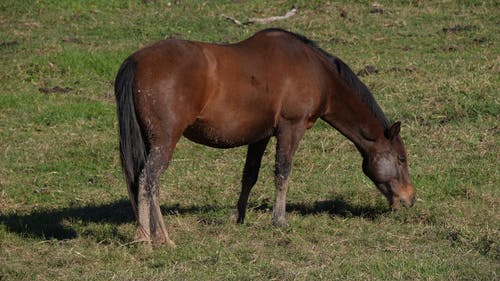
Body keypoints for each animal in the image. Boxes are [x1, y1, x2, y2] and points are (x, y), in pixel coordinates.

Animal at [115, 27, 416, 244]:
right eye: (401, 159)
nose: (409, 199)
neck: (317, 72)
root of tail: (136, 60)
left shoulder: (260, 136)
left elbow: (250, 175)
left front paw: (239, 216)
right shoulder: (290, 128)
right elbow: (282, 172)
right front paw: (279, 220)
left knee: (140, 178)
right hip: (165, 141)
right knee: (149, 179)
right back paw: (156, 237)